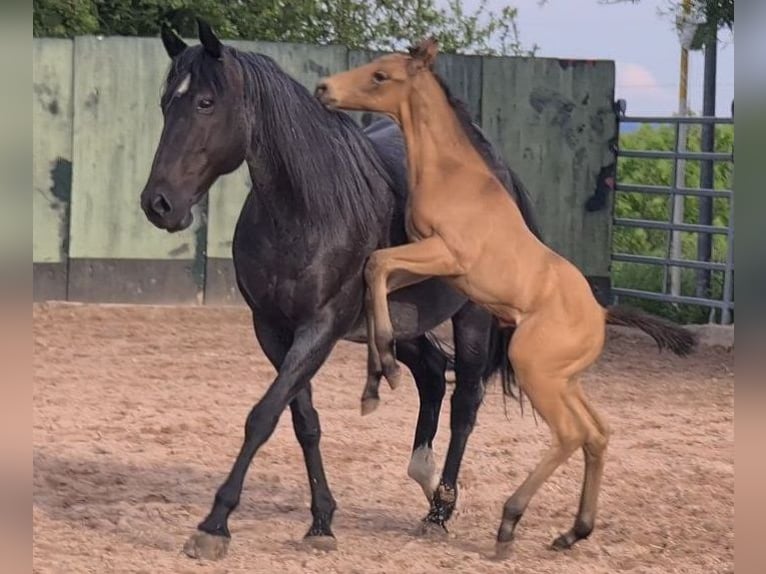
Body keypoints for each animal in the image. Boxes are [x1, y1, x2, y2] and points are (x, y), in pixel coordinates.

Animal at [141, 21, 544, 564]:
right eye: (167, 103)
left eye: (205, 102)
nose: (158, 203)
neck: (308, 210)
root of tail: (494, 166)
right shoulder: (273, 329)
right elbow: (302, 419)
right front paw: (321, 521)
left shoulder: (322, 326)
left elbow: (262, 416)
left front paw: (215, 524)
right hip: (399, 323)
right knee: (432, 375)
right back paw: (424, 479)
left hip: (473, 318)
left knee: (465, 403)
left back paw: (439, 511)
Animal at [316, 38, 700, 560]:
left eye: (380, 76)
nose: (324, 89)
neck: (452, 173)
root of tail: (601, 313)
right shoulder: (423, 262)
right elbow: (376, 275)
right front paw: (379, 377)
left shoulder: (445, 255)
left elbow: (376, 263)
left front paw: (389, 369)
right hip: (563, 379)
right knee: (597, 433)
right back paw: (572, 532)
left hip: (534, 367)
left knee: (571, 434)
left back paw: (509, 524)